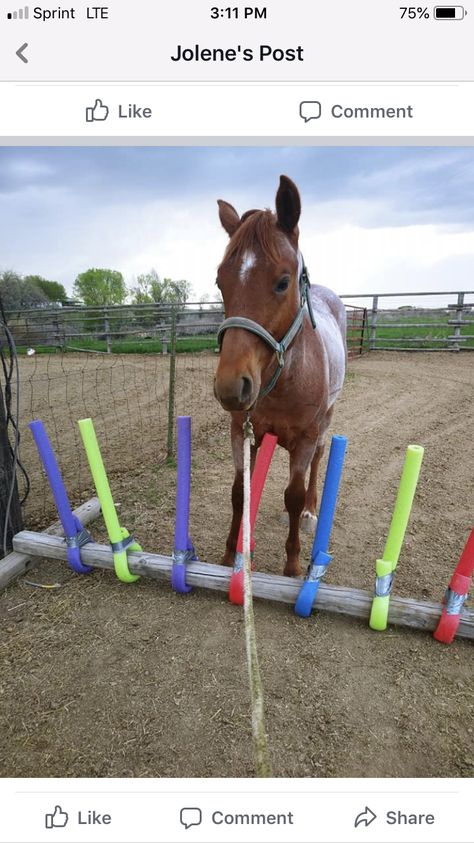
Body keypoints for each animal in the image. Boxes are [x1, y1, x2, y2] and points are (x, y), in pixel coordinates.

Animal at [214, 175, 344, 576]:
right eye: (220, 282)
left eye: (283, 282)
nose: (231, 386)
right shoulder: (241, 431)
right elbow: (239, 492)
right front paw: (230, 556)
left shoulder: (305, 438)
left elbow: (293, 494)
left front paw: (292, 564)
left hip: (326, 420)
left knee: (319, 459)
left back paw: (311, 513)